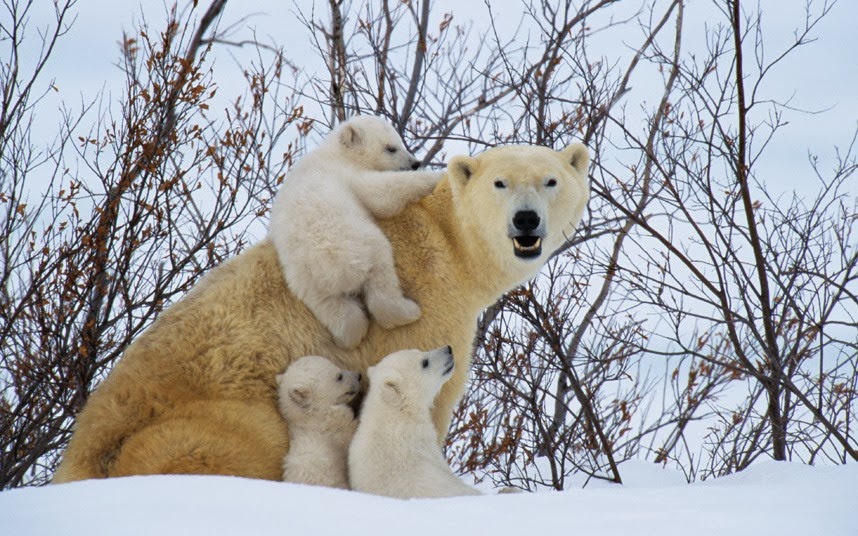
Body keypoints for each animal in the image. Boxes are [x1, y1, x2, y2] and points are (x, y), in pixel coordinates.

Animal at [270, 115, 442, 350]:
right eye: (391, 148)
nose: (415, 163)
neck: (336, 153)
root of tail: (337, 272)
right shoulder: (348, 173)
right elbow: (382, 194)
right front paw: (435, 177)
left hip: (307, 284)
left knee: (338, 311)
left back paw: (345, 339)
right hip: (365, 245)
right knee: (381, 279)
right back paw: (409, 311)